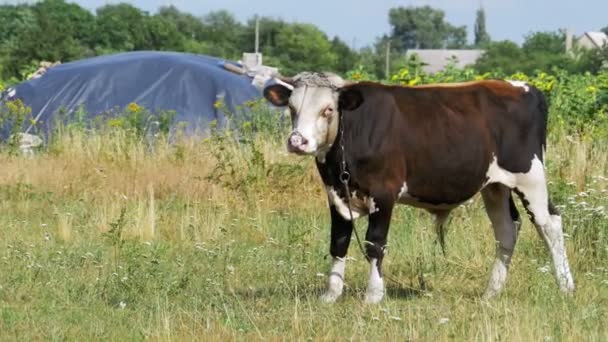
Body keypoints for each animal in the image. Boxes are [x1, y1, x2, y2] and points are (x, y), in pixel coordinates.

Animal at [262, 71, 576, 302]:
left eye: (328, 109)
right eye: (292, 109)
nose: (297, 141)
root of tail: (523, 87)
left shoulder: (384, 193)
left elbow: (375, 243)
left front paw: (373, 295)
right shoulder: (336, 195)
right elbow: (338, 242)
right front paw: (331, 294)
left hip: (530, 179)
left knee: (550, 225)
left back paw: (566, 287)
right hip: (495, 186)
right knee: (507, 230)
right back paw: (491, 292)